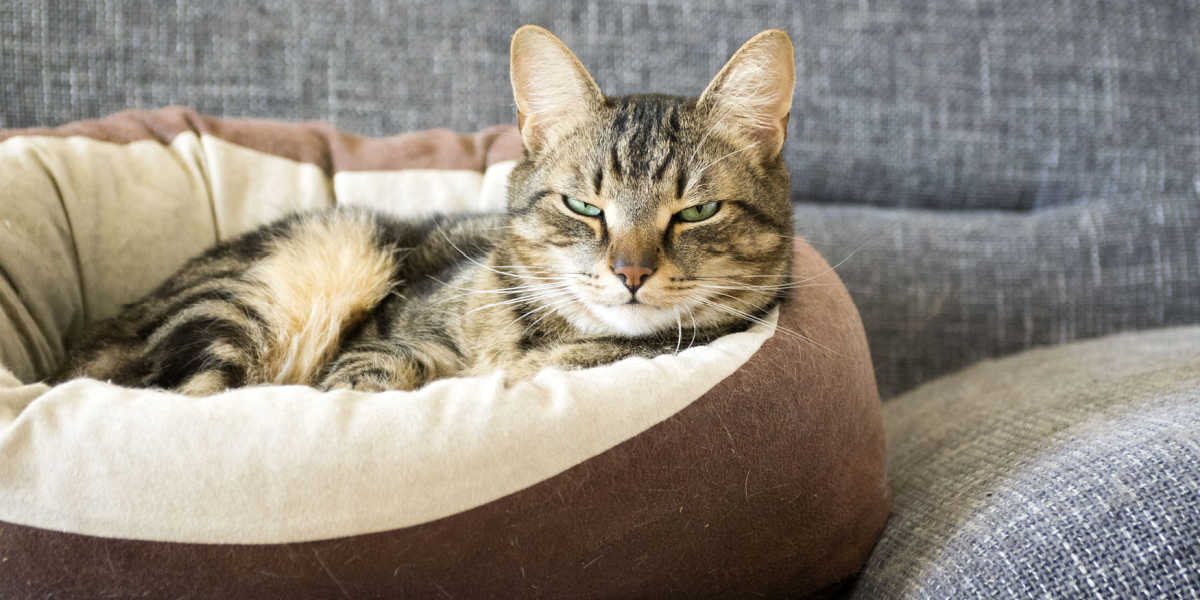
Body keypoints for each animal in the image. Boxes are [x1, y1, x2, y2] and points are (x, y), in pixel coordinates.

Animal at [54, 27, 796, 393]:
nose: (630, 273)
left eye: (698, 212)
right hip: (283, 281)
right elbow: (373, 375)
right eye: (584, 205)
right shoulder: (385, 342)